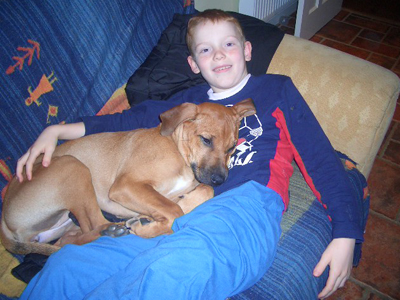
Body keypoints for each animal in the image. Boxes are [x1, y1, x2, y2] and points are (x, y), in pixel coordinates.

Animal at [0, 98, 256, 255]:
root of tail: (4, 217)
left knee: (68, 240)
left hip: (66, 219)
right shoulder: (126, 186)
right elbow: (173, 212)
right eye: (205, 139)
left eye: (231, 147)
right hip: (72, 166)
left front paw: (158, 216)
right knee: (95, 224)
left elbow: (199, 194)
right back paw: (115, 229)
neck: (178, 151)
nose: (220, 180)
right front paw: (147, 228)